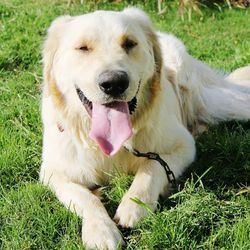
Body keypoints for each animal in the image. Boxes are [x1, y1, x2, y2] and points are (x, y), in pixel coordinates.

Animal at [39, 7, 250, 250]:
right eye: (83, 48)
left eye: (129, 43)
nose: (114, 83)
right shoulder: (52, 171)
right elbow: (86, 197)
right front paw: (100, 230)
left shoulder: (183, 146)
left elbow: (152, 166)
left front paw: (135, 205)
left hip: (210, 101)